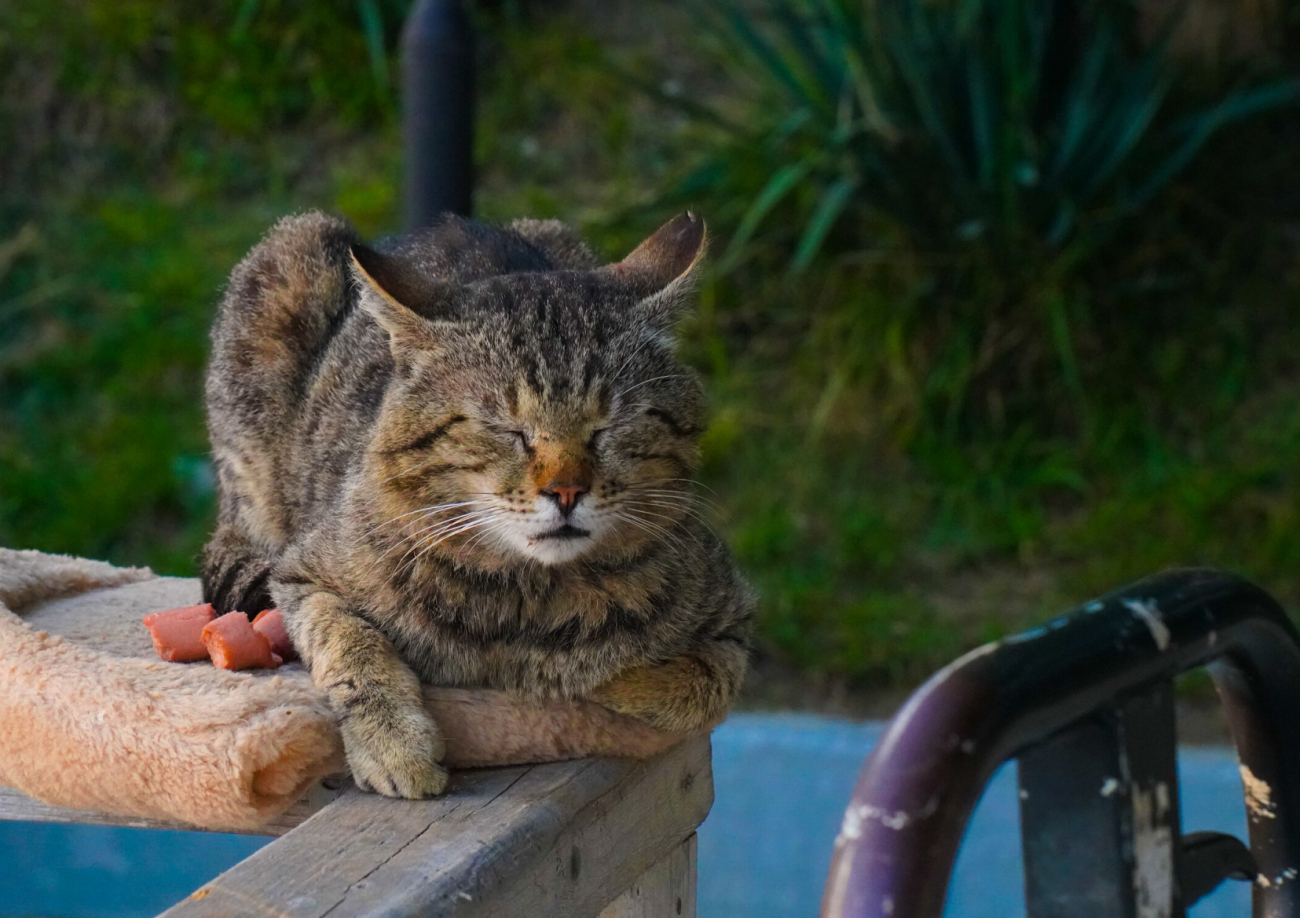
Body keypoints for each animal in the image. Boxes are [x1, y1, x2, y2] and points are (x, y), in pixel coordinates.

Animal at [198, 213, 759, 795]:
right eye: (507, 429)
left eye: (607, 427)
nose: (566, 491)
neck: (529, 600)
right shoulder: (305, 574)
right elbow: (350, 645)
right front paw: (393, 744)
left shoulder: (734, 623)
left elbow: (692, 687)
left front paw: (579, 680)